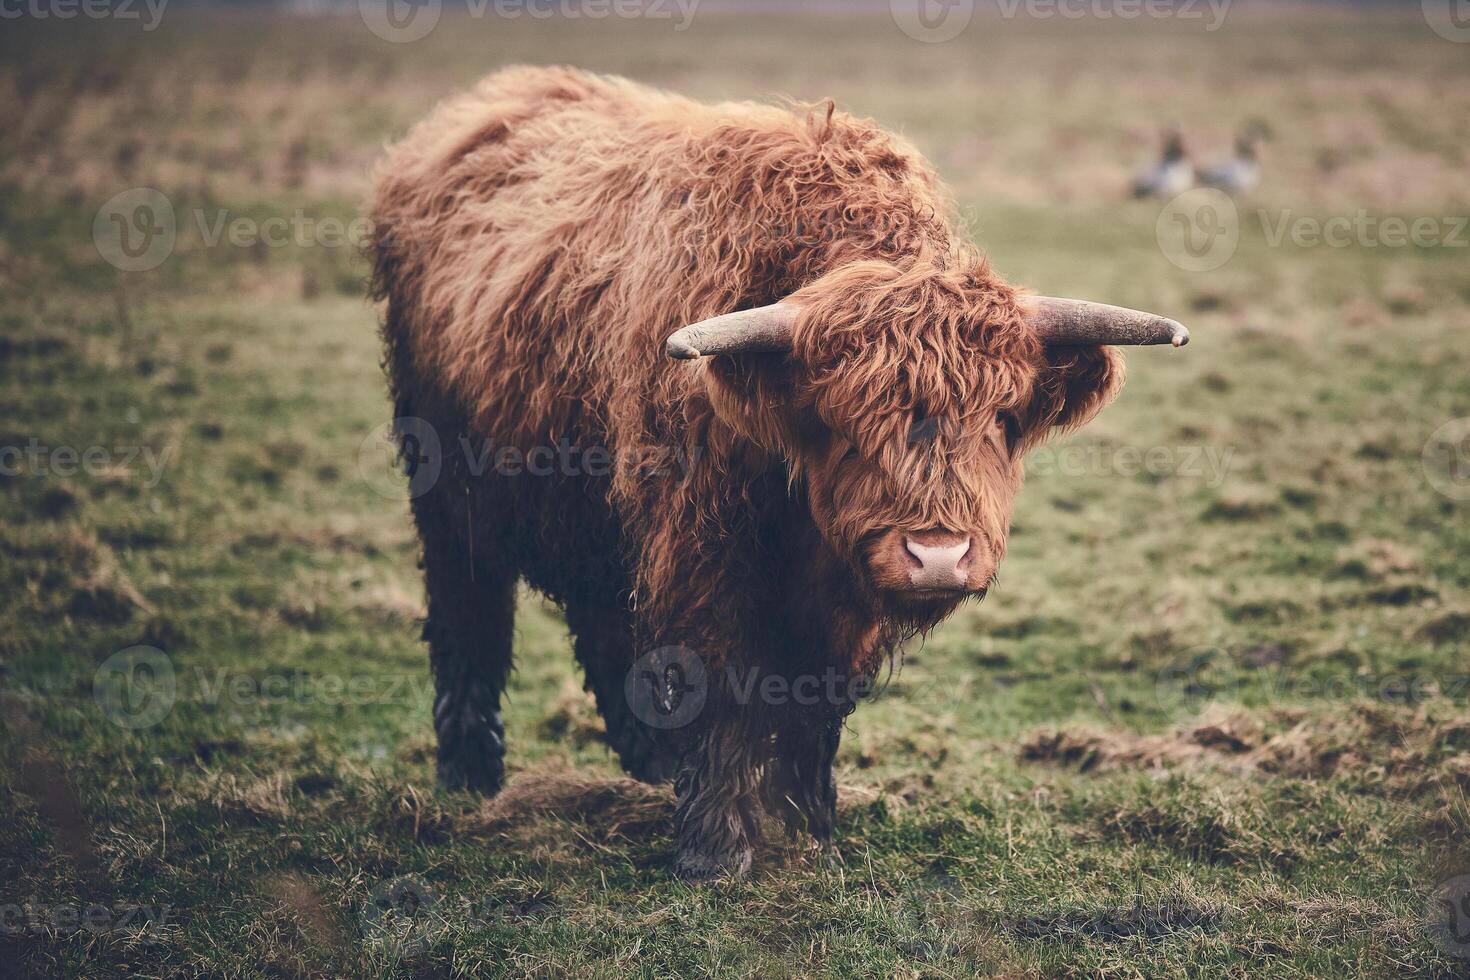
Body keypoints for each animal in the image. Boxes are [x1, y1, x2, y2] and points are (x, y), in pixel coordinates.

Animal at [367, 65, 1181, 887]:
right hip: (450, 489)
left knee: (600, 621)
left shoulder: (827, 598)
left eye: (1002, 418)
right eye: (844, 423)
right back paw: (470, 775)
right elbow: (716, 690)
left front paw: (809, 830)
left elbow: (812, 708)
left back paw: (648, 765)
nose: (937, 557)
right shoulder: (699, 552)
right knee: (470, 615)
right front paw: (715, 851)